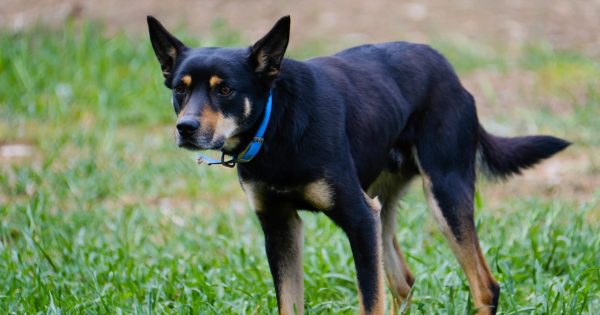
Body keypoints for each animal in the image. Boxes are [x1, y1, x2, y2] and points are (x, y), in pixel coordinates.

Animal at [148, 15, 568, 315]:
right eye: (180, 89)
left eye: (225, 89)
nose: (185, 128)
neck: (277, 123)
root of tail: (449, 71)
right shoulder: (281, 226)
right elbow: (290, 303)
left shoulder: (358, 217)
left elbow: (371, 302)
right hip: (382, 208)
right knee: (404, 283)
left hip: (443, 193)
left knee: (485, 287)